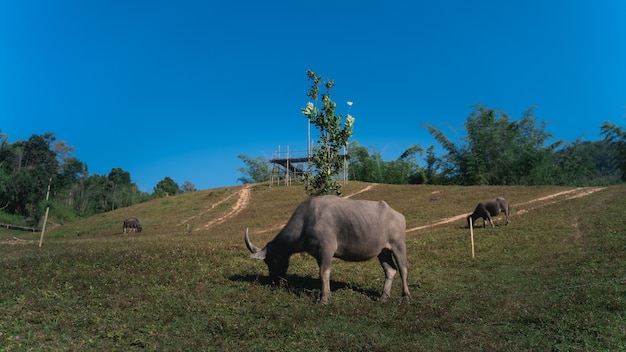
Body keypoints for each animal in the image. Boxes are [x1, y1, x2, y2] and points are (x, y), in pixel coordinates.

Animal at [243, 195, 410, 306]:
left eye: (269, 260)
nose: (274, 281)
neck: (306, 221)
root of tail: (398, 215)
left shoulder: (326, 249)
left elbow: (324, 272)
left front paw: (323, 299)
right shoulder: (318, 254)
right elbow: (322, 273)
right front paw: (326, 295)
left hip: (398, 245)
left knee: (403, 269)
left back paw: (406, 297)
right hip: (383, 251)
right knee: (390, 270)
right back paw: (384, 297)